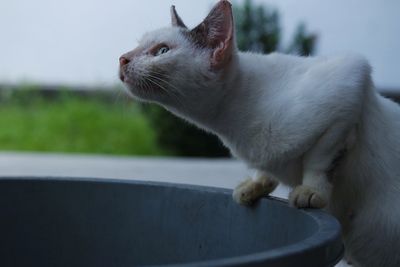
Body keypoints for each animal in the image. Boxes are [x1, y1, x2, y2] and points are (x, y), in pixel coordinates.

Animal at [119, 1, 400, 266]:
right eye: (138, 45)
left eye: (162, 51)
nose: (122, 58)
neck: (229, 125)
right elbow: (264, 172)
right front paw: (254, 185)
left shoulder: (350, 87)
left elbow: (319, 160)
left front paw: (310, 192)